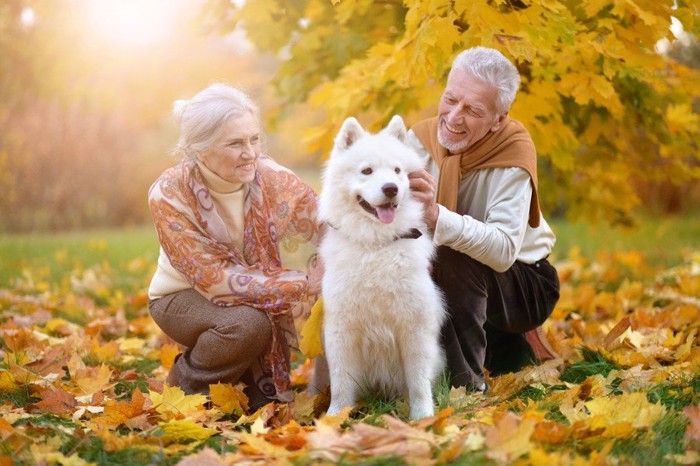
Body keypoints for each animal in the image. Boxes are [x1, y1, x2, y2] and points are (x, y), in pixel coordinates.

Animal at [316, 114, 446, 420]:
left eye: (398, 170)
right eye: (366, 171)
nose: (391, 188)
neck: (376, 246)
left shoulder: (415, 325)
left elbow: (418, 381)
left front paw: (423, 417)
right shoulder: (341, 328)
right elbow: (341, 382)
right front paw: (334, 417)